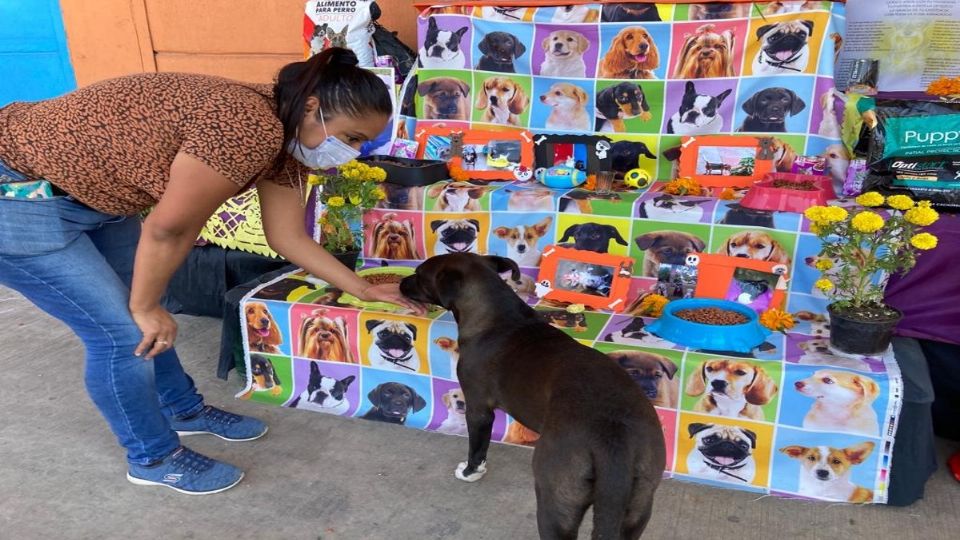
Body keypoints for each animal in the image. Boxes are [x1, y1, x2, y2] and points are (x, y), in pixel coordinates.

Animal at [402, 254, 664, 540]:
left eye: (419, 275)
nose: (401, 282)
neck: (498, 315)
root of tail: (613, 437)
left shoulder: (478, 408)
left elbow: (478, 447)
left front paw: (471, 472)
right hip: (638, 507)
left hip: (556, 502)